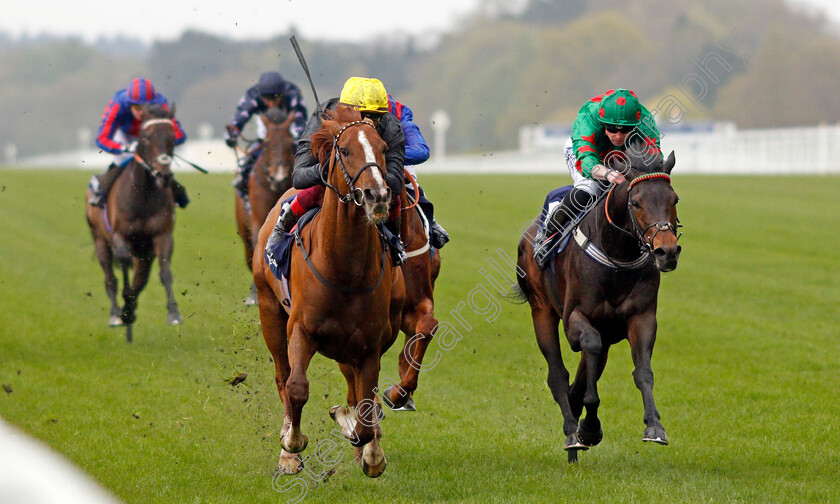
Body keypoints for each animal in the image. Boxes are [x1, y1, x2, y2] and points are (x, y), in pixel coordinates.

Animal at [85, 103, 182, 342]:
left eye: (172, 137)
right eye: (145, 138)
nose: (163, 175)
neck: (142, 195)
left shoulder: (162, 236)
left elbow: (164, 273)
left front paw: (173, 313)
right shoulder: (118, 236)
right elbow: (122, 264)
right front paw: (124, 309)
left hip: (144, 251)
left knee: (141, 276)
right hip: (99, 240)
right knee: (110, 278)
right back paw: (115, 314)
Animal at [251, 105, 406, 476]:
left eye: (383, 148)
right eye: (345, 150)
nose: (377, 195)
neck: (344, 269)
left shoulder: (370, 344)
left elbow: (367, 405)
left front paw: (370, 452)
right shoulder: (301, 330)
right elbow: (296, 387)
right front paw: (292, 444)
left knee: (359, 390)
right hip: (269, 311)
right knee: (282, 376)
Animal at [512, 145, 684, 460]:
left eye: (674, 198)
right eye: (636, 203)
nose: (666, 252)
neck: (617, 256)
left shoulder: (641, 317)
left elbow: (643, 371)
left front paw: (654, 426)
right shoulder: (574, 319)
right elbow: (588, 352)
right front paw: (589, 428)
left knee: (580, 380)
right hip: (541, 310)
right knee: (558, 375)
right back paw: (572, 433)